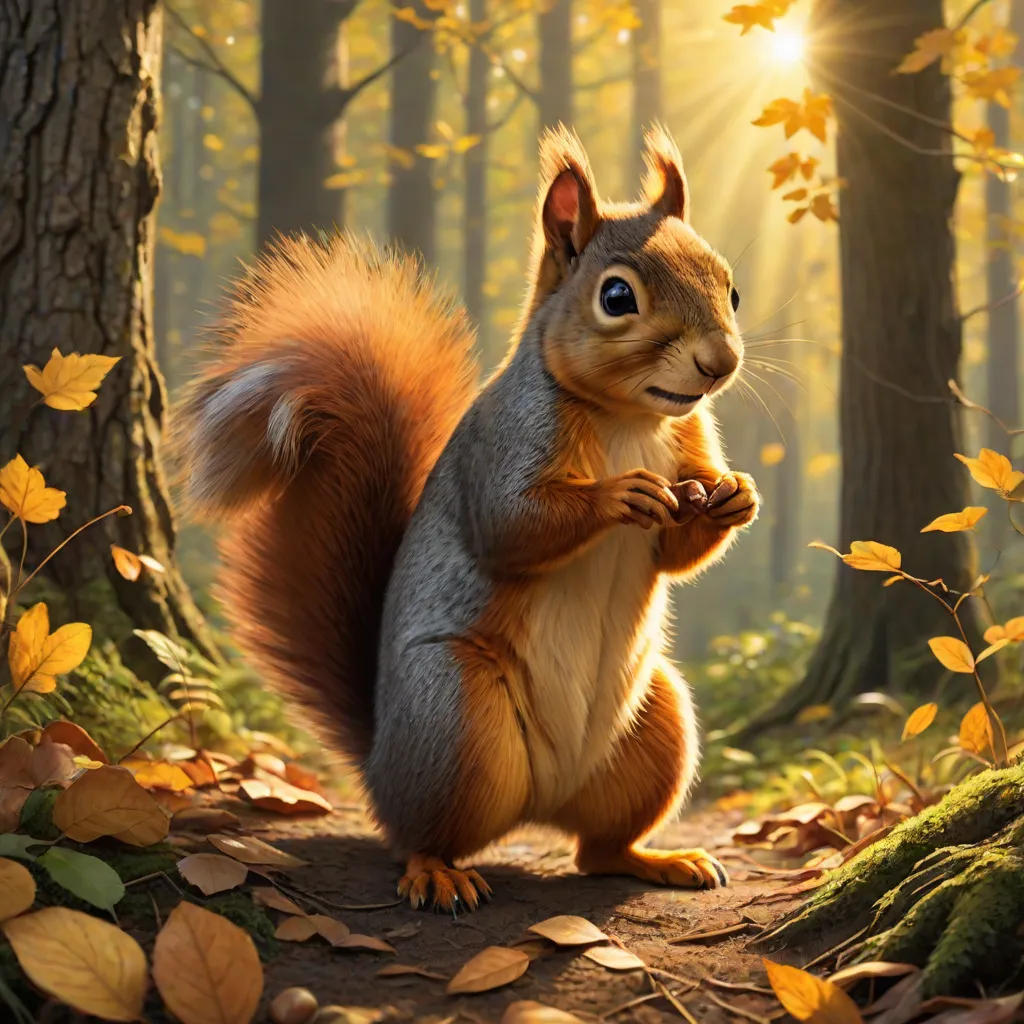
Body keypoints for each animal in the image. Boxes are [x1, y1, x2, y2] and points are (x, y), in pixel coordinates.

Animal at [181, 125, 759, 912]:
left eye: (731, 287)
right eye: (616, 296)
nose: (719, 362)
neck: (630, 419)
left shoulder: (692, 441)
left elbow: (678, 550)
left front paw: (738, 496)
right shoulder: (506, 443)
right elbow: (510, 526)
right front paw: (619, 496)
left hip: (655, 725)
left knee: (597, 851)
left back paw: (659, 860)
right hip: (453, 714)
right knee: (418, 834)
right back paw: (438, 872)